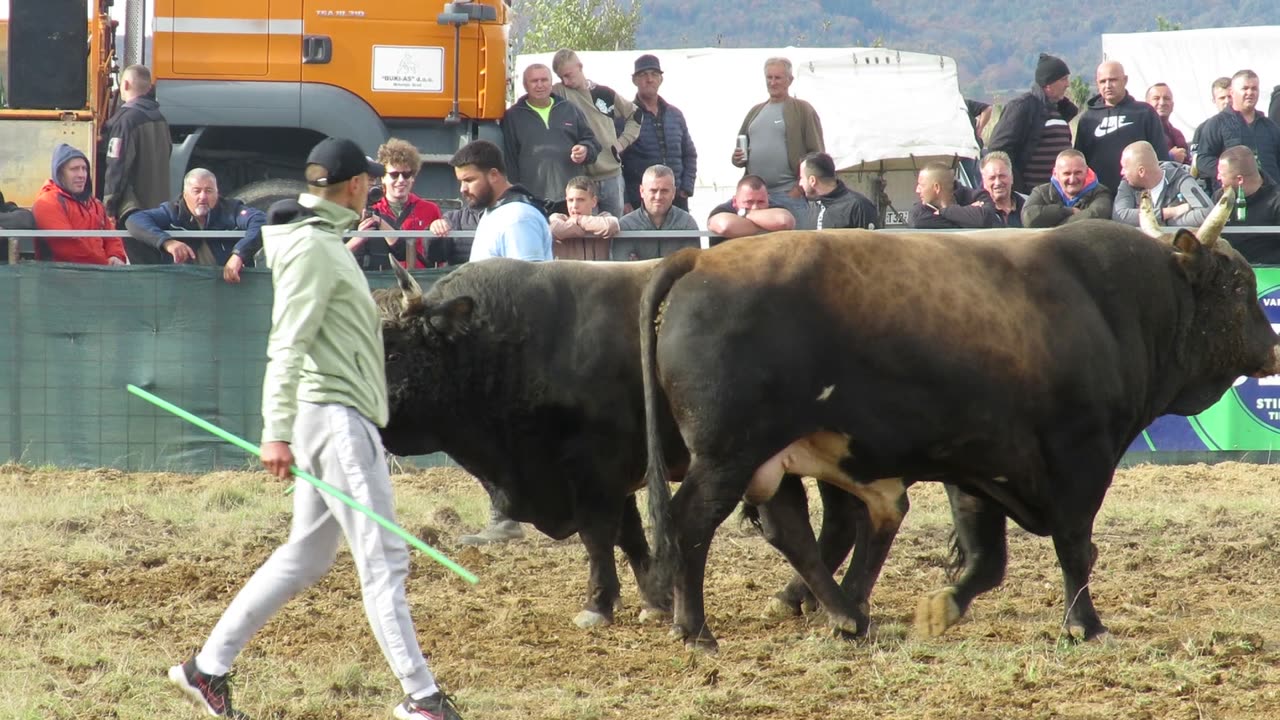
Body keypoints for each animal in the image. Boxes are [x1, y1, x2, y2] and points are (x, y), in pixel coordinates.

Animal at [640, 190, 1280, 650]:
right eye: (1240, 285)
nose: (1272, 346)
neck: (1111, 305)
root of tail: (700, 256)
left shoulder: (978, 464)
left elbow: (986, 559)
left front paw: (941, 608)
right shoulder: (1080, 457)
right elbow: (1076, 544)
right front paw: (1087, 625)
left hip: (777, 458)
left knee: (793, 529)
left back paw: (846, 617)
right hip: (728, 454)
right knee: (691, 522)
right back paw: (697, 629)